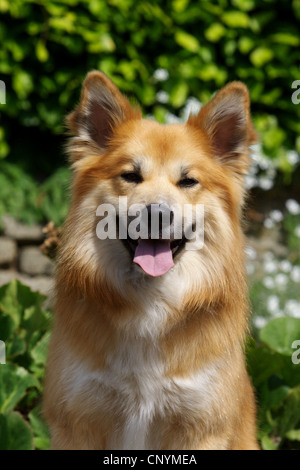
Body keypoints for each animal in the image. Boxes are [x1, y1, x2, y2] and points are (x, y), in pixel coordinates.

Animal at [43, 71, 258, 450]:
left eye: (188, 181)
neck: (150, 305)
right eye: (130, 176)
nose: (157, 214)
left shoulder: (201, 425)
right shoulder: (77, 419)